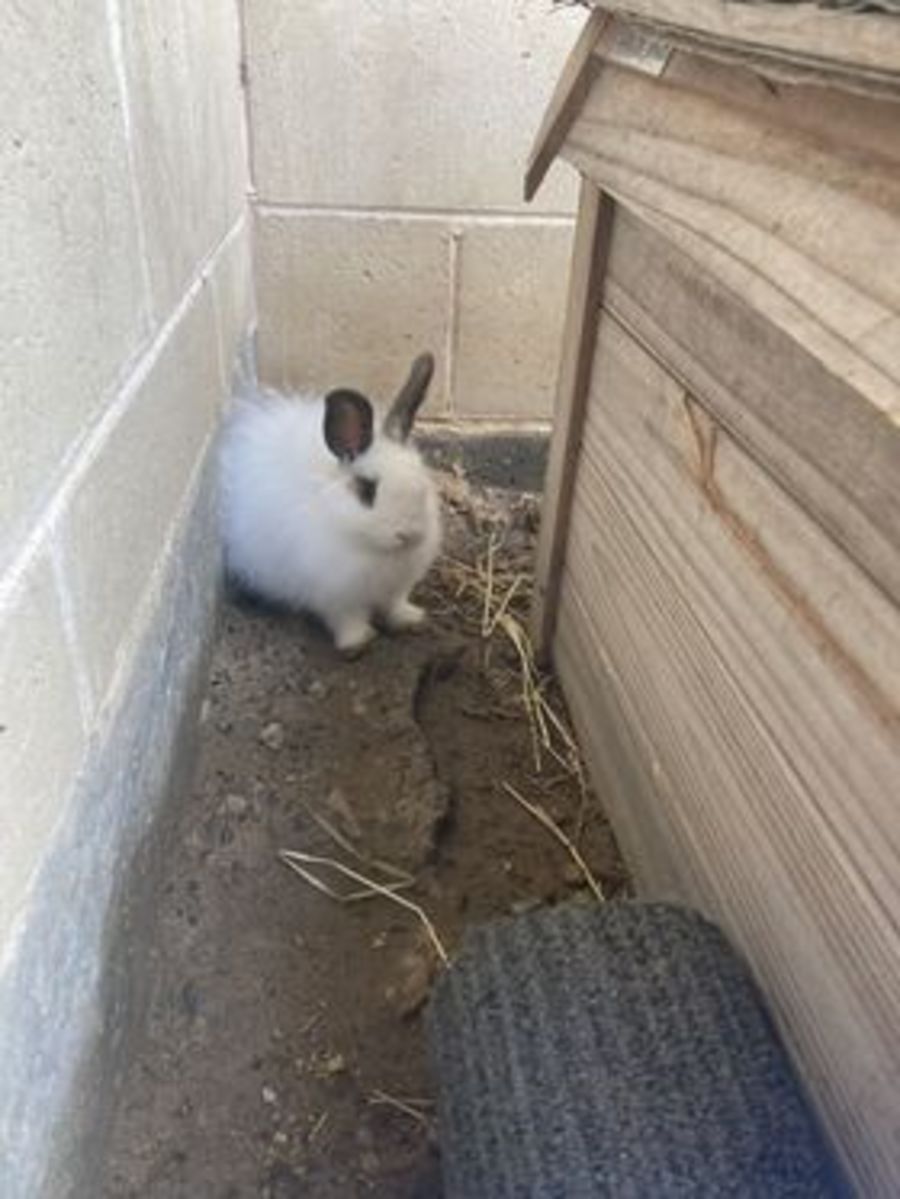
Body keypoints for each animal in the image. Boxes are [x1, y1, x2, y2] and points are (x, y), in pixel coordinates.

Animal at [220, 352, 442, 655]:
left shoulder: (397, 588)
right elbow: (347, 619)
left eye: (423, 482)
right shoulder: (336, 596)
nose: (410, 535)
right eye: (367, 489)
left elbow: (394, 606)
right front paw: (357, 643)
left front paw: (411, 620)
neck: (374, 550)